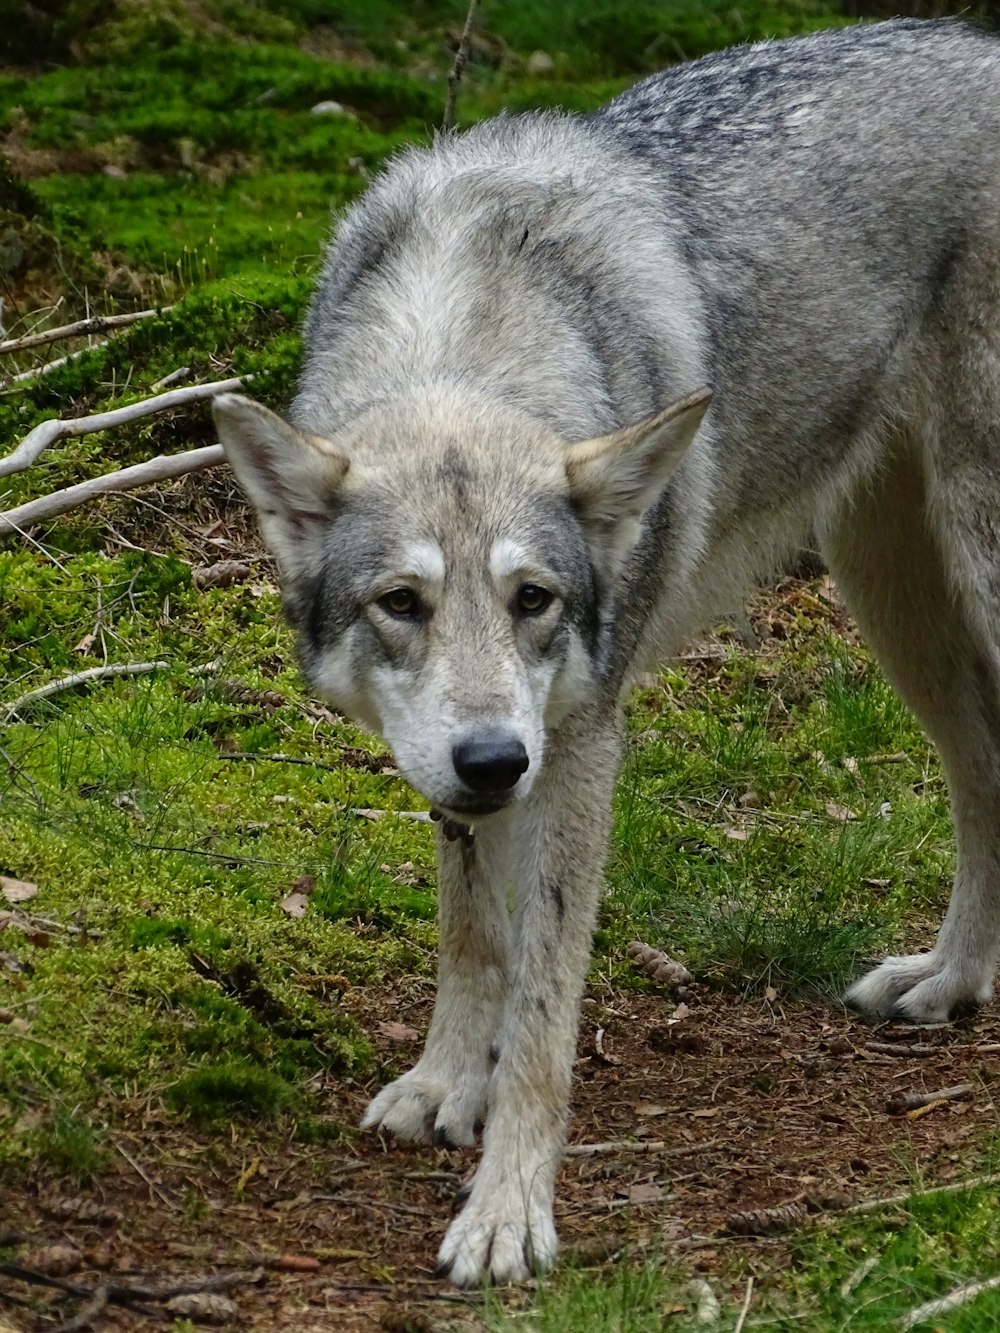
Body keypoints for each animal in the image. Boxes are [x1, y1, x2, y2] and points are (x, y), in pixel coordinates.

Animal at [216, 20, 1000, 1285]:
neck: (469, 325)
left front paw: (507, 1208)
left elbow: (545, 1002)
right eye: (401, 603)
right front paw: (448, 1082)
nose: (494, 761)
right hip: (889, 594)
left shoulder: (579, 742)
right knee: (982, 772)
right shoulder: (471, 766)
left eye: (533, 597)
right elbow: (472, 934)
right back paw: (950, 981)